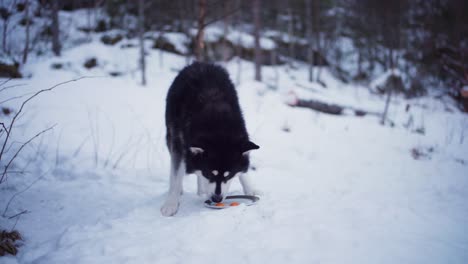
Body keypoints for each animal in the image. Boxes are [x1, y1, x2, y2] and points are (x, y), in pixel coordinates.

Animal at [162, 62, 260, 217]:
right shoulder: (181, 144)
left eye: (228, 175)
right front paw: (171, 202)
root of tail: (199, 63)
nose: (216, 198)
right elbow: (177, 175)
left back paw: (201, 191)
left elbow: (243, 170)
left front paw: (250, 189)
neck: (218, 126)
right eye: (209, 173)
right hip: (171, 133)